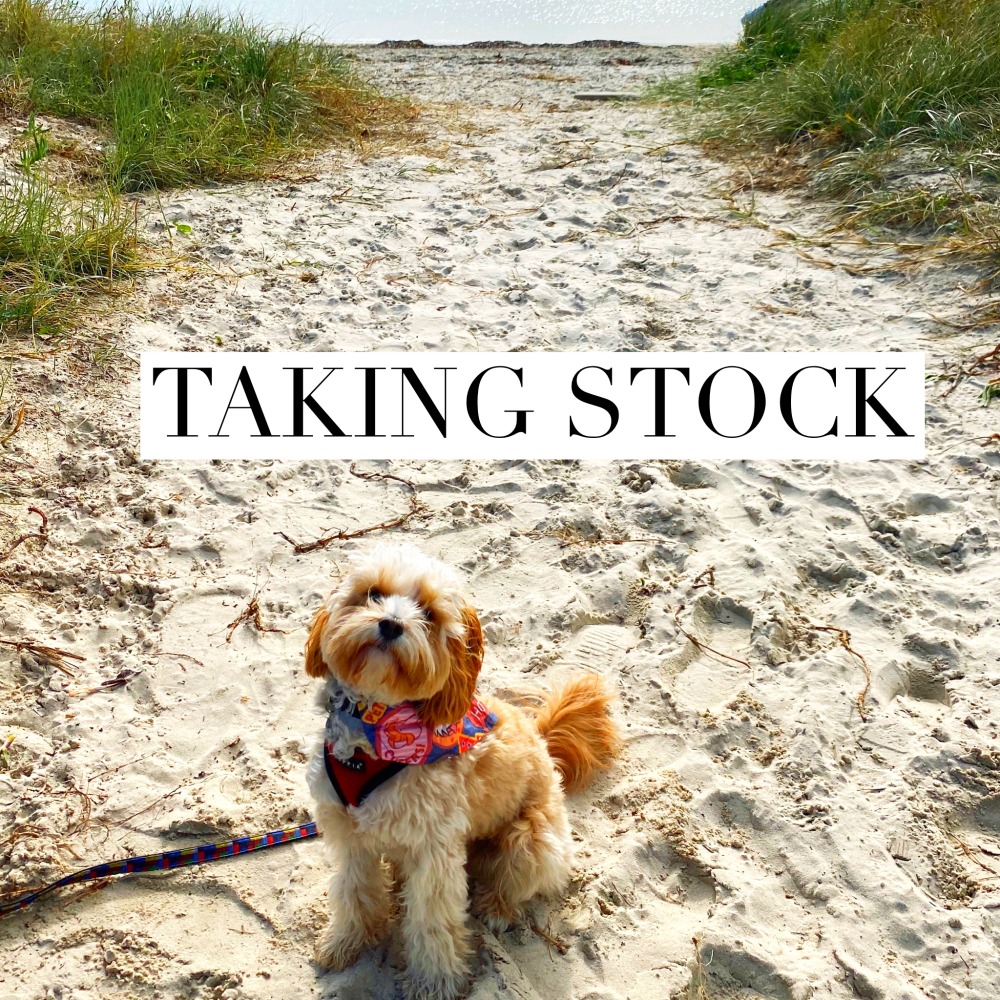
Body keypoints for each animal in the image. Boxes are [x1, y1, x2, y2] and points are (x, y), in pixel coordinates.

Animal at [302, 544, 616, 996]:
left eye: (429, 613)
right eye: (373, 593)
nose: (390, 624)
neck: (374, 726)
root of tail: (542, 741)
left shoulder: (435, 852)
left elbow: (433, 923)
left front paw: (433, 983)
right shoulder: (350, 836)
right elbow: (354, 890)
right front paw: (347, 942)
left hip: (532, 840)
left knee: (516, 880)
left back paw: (495, 906)